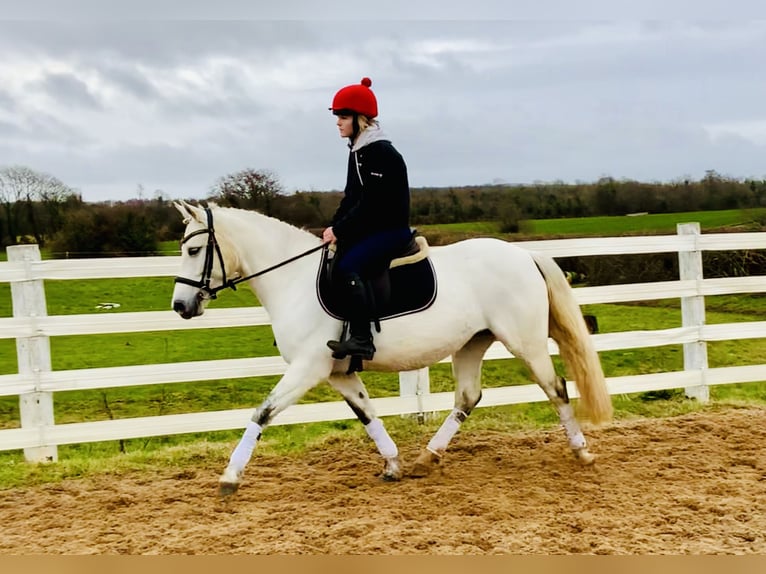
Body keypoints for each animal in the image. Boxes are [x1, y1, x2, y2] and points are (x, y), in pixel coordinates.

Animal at [171, 202, 616, 500]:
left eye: (193, 251)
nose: (180, 306)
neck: (294, 279)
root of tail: (525, 254)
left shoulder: (308, 368)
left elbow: (262, 412)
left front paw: (229, 477)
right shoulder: (339, 372)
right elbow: (366, 413)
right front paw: (393, 465)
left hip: (525, 343)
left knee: (556, 388)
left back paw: (582, 452)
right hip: (471, 344)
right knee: (468, 397)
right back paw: (427, 458)